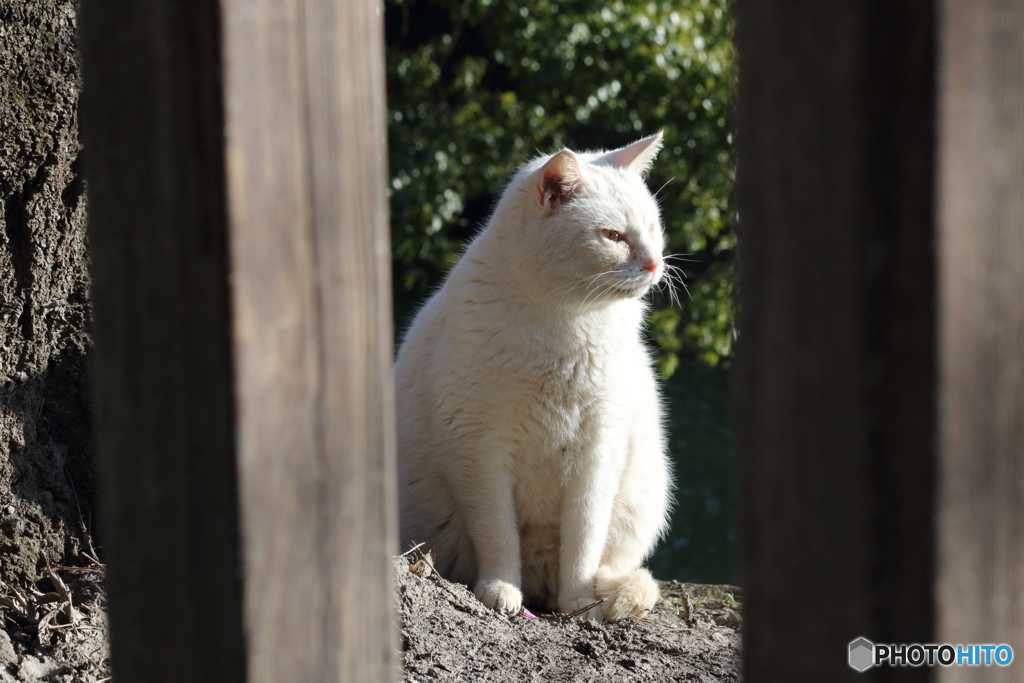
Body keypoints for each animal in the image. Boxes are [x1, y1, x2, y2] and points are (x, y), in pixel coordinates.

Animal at [393, 133, 671, 626]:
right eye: (613, 236)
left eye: (653, 228)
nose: (656, 265)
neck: (568, 322)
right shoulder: (477, 450)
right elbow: (497, 533)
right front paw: (500, 591)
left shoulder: (598, 452)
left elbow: (584, 538)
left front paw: (579, 601)